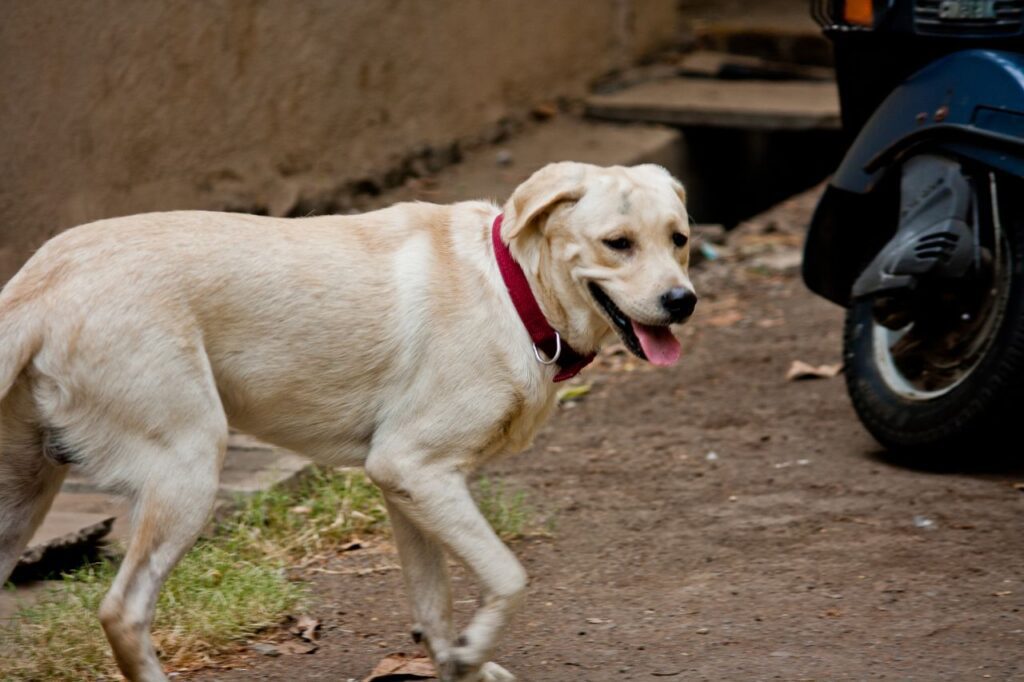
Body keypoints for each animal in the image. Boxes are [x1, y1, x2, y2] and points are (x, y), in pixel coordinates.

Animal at [0, 160, 696, 679]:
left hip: (21, 503)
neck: (512, 290)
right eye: (618, 244)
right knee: (122, 611)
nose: (683, 301)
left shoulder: (406, 487)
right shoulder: (415, 468)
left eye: (680, 239)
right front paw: (475, 650)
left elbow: (434, 603)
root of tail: (36, 288)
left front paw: (459, 663)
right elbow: (510, 574)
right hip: (188, 468)